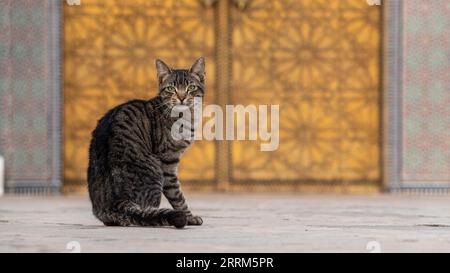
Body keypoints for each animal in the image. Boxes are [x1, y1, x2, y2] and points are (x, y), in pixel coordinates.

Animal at [87, 57, 206, 227]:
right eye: (171, 89)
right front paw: (190, 217)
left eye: (191, 87)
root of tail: (117, 202)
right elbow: (177, 195)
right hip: (155, 170)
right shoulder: (168, 161)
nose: (182, 97)